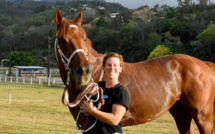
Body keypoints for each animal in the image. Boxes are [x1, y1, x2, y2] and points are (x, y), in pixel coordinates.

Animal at [54, 8, 215, 133]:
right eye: (62, 40)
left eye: (85, 38)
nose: (84, 72)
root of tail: (205, 64)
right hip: (181, 114)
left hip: (202, 117)